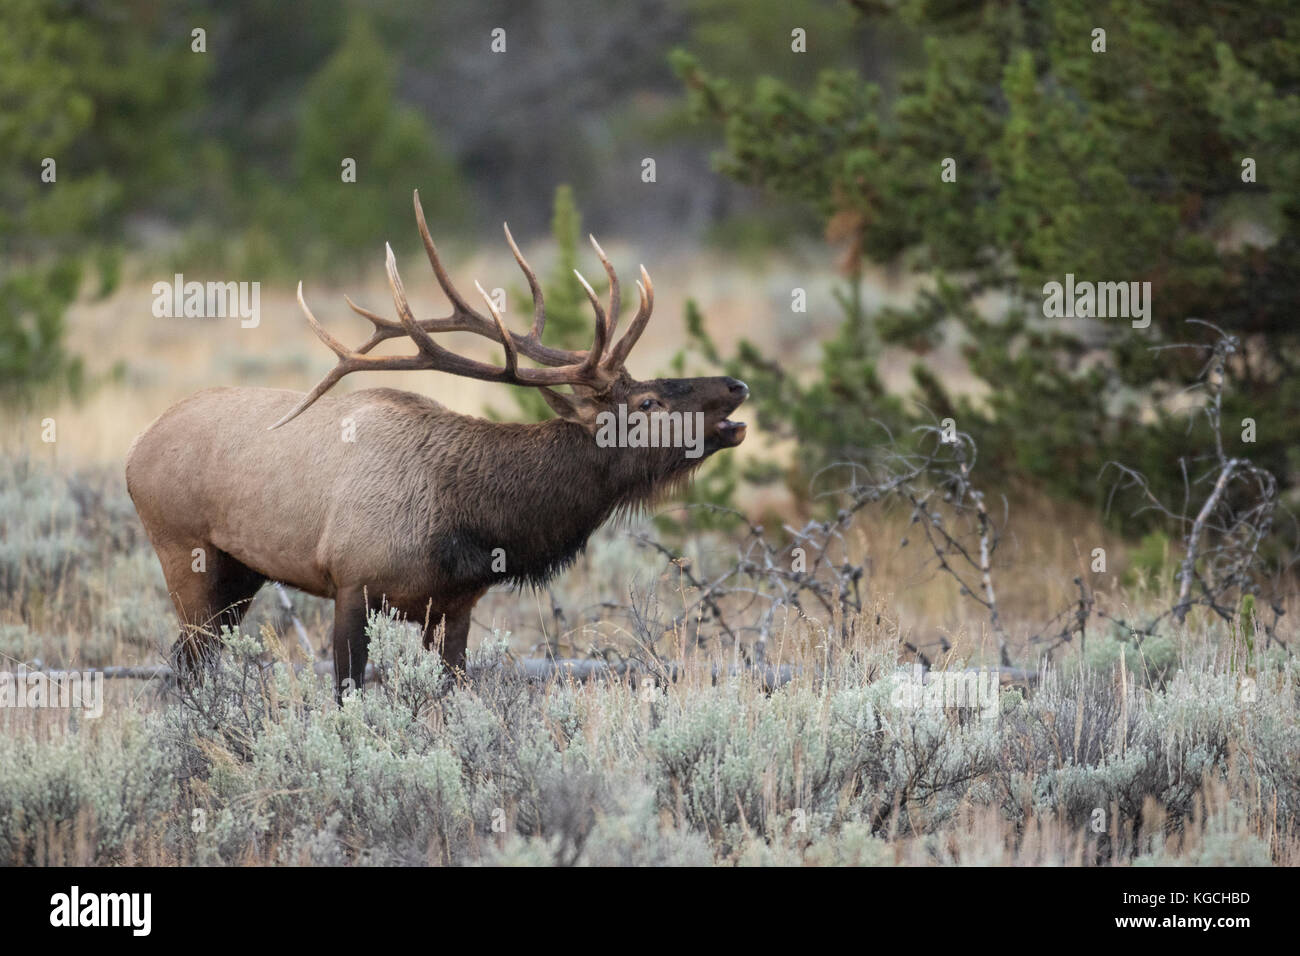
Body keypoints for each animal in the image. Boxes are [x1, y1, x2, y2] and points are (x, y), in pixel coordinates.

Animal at [126, 190, 748, 696]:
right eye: (648, 403)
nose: (736, 386)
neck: (472, 522)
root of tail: (135, 451)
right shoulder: (352, 581)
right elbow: (346, 694)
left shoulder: (453, 604)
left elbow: (449, 693)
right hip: (182, 548)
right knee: (188, 660)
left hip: (241, 570)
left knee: (192, 658)